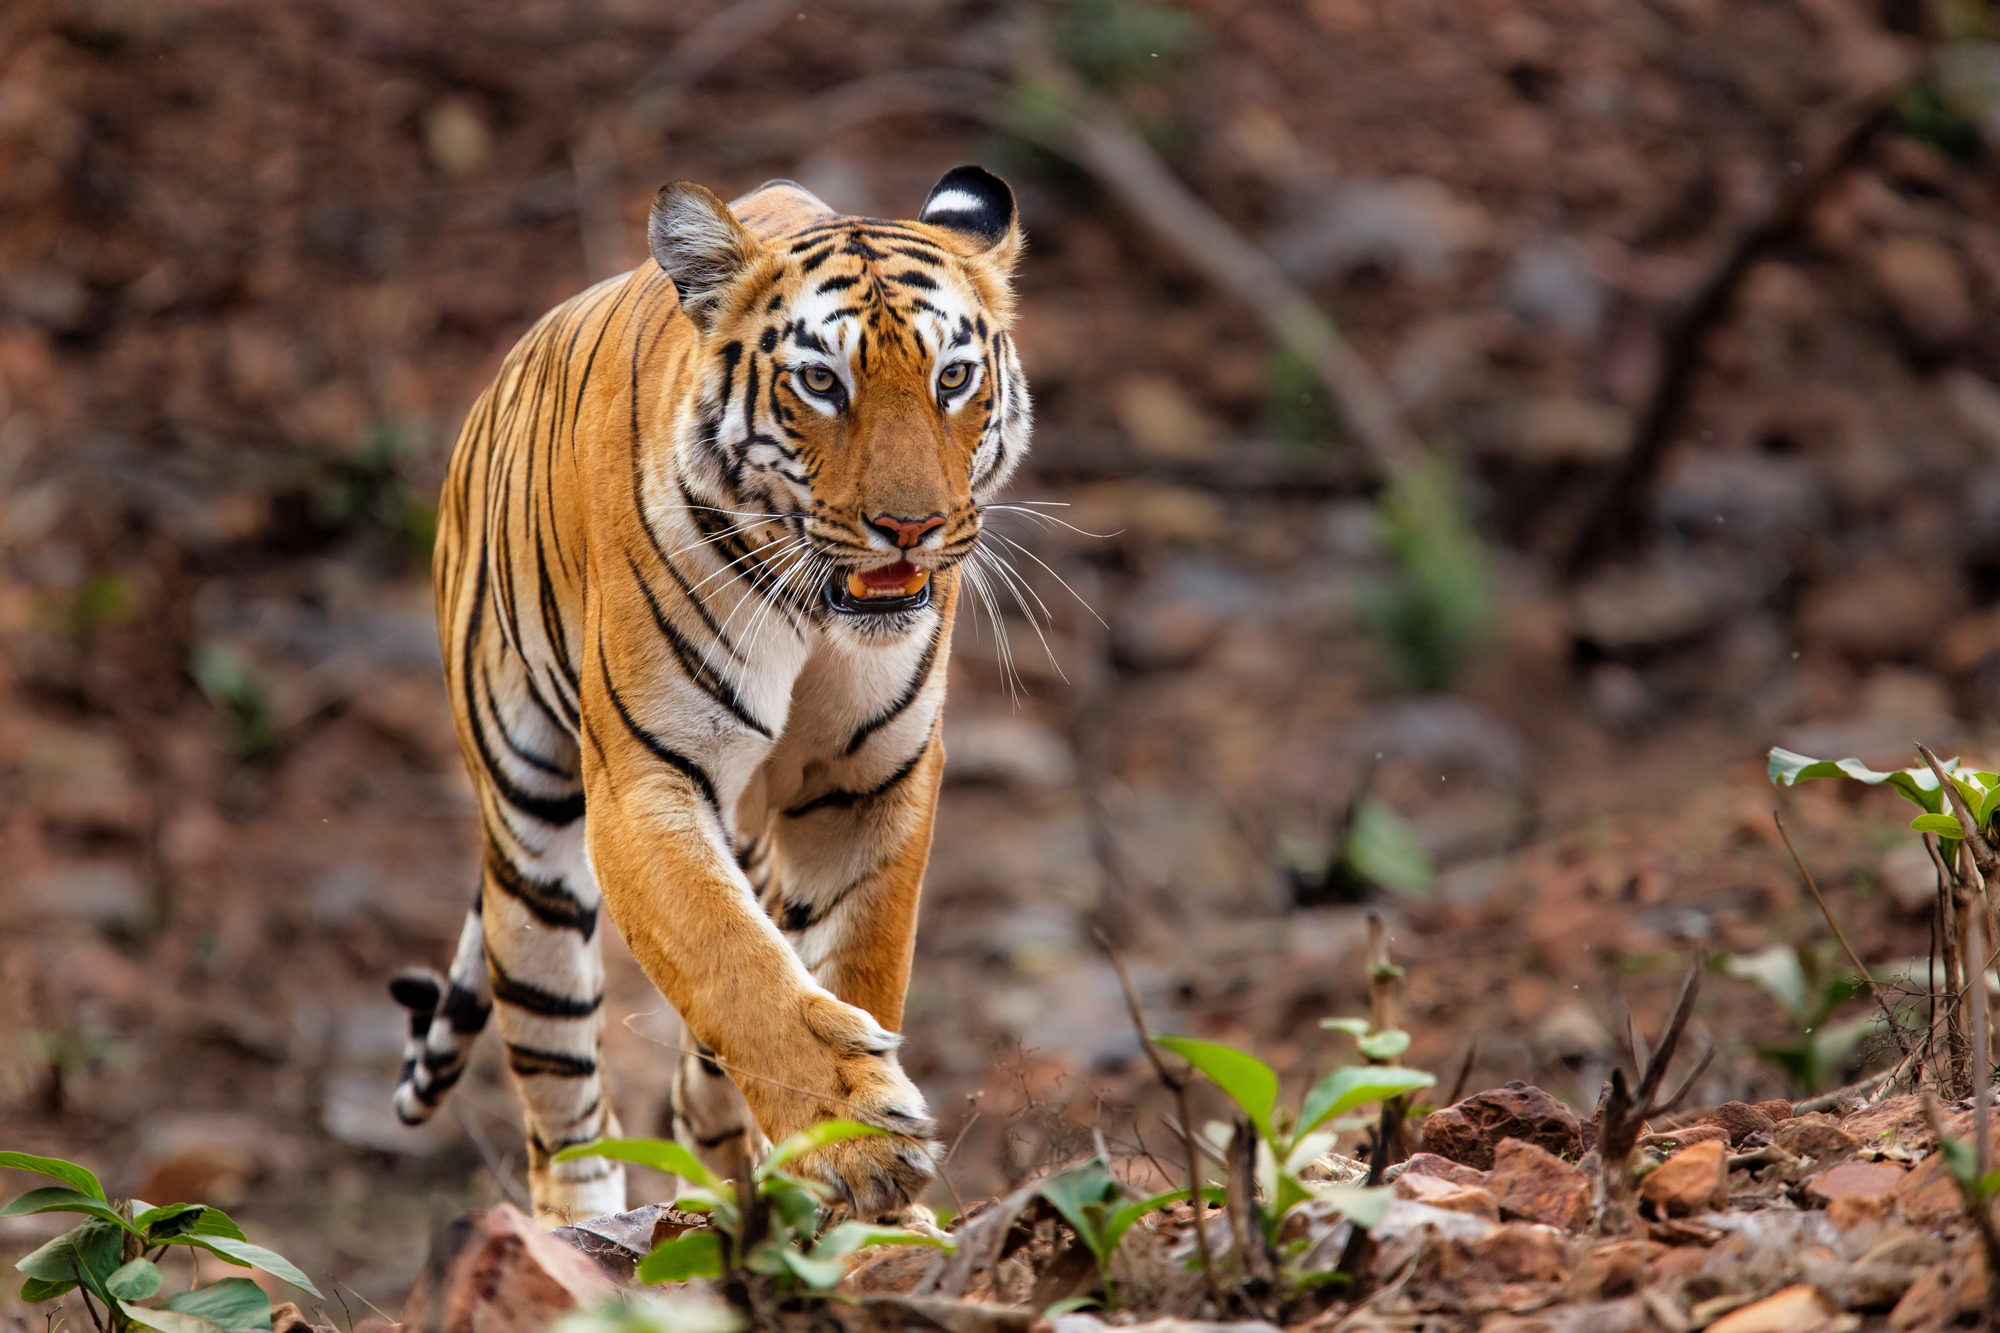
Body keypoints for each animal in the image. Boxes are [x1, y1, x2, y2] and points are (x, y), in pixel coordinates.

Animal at [385, 166, 1030, 1225]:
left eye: (952, 379)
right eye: (822, 382)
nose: (912, 528)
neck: (818, 614)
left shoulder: (871, 782)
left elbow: (857, 962)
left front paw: (869, 1203)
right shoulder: (643, 783)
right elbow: (732, 963)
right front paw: (863, 1143)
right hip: (531, 837)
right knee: (561, 1109)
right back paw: (580, 1231)